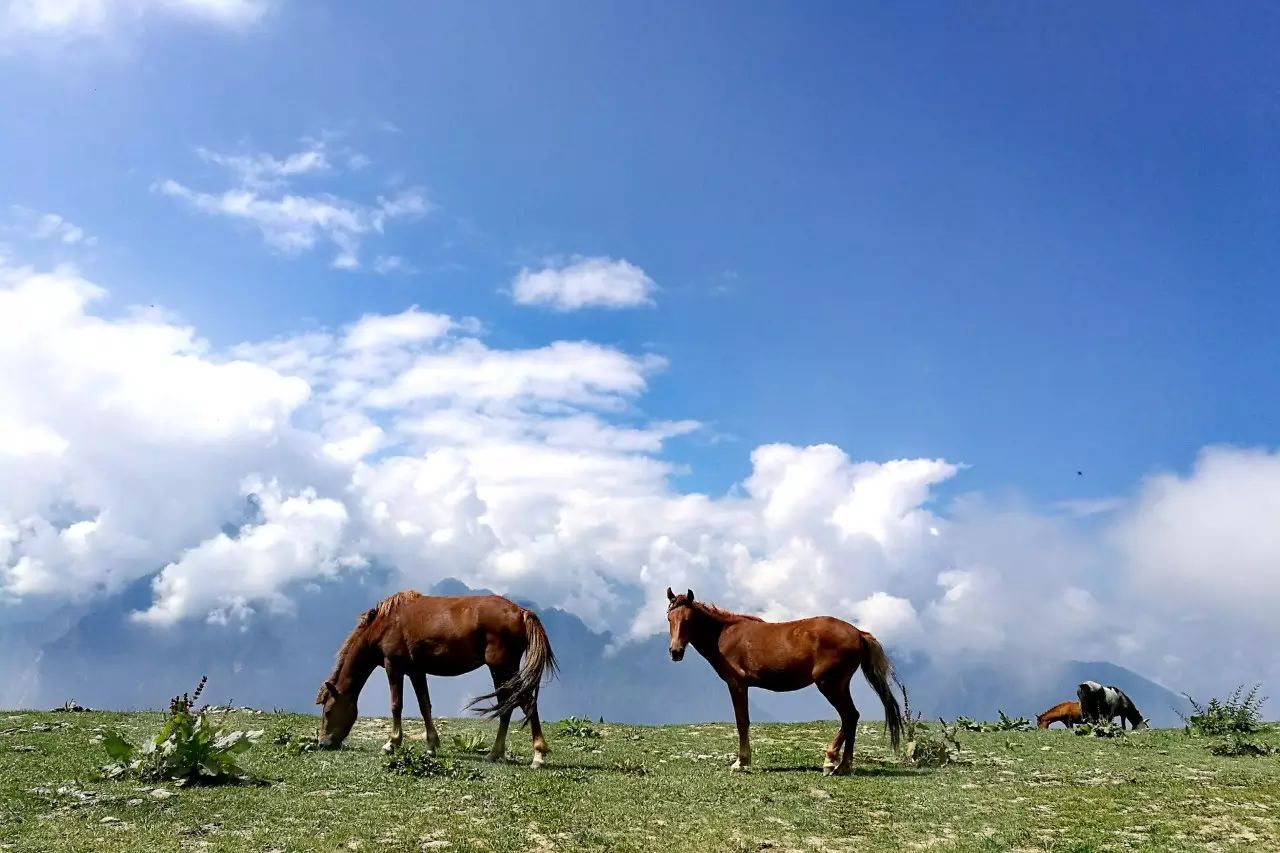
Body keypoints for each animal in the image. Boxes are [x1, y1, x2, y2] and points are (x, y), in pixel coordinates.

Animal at [313, 591, 555, 763]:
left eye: (328, 711)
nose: (323, 743)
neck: (385, 623)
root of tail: (522, 612)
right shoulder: (416, 671)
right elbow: (424, 705)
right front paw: (431, 745)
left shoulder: (394, 667)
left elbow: (396, 705)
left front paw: (391, 743)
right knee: (508, 705)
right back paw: (495, 753)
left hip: (503, 667)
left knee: (524, 702)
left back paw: (538, 755)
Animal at [665, 589, 906, 773]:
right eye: (670, 618)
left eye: (688, 620)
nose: (675, 652)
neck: (724, 634)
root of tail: (858, 632)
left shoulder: (737, 684)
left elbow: (742, 722)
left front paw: (741, 762)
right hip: (838, 684)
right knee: (851, 717)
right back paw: (842, 765)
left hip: (830, 684)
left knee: (849, 716)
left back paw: (833, 762)